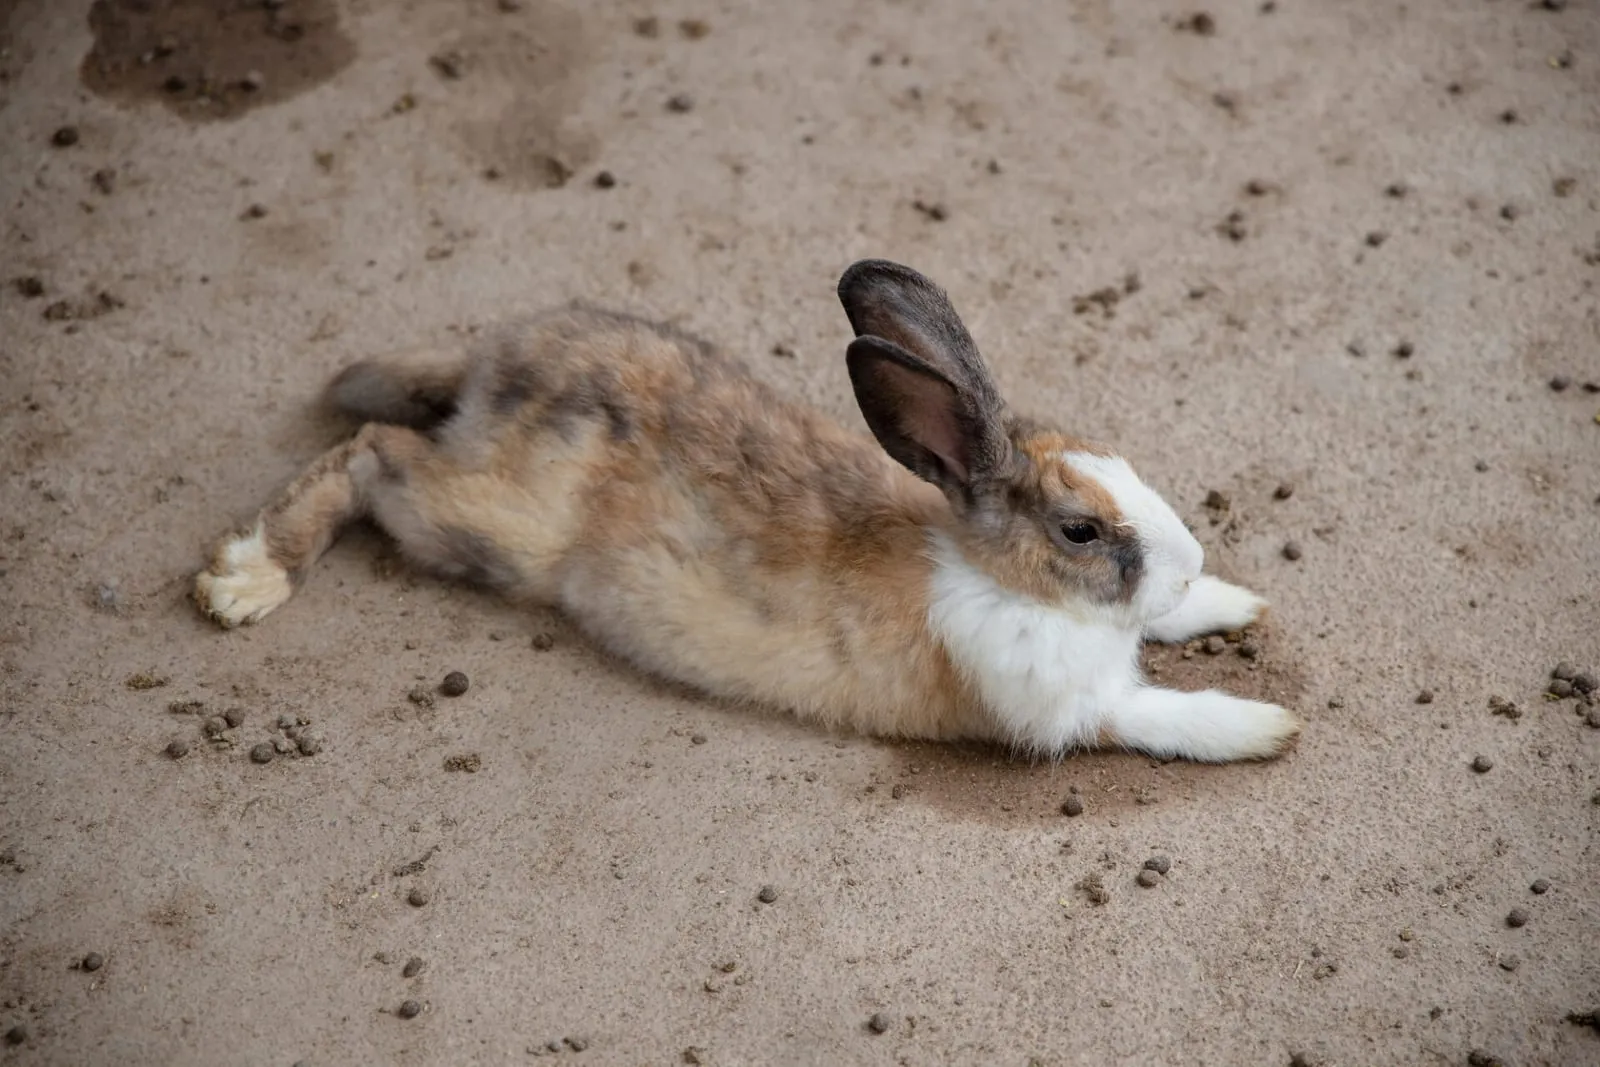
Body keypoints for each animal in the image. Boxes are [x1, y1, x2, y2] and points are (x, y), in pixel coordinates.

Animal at [193, 259, 1301, 763]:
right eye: (1078, 530)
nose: (1186, 558)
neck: (999, 573)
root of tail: (493, 367)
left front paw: (1233, 603)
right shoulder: (1067, 708)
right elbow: (1161, 713)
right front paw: (1267, 725)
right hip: (479, 521)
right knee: (372, 454)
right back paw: (245, 578)